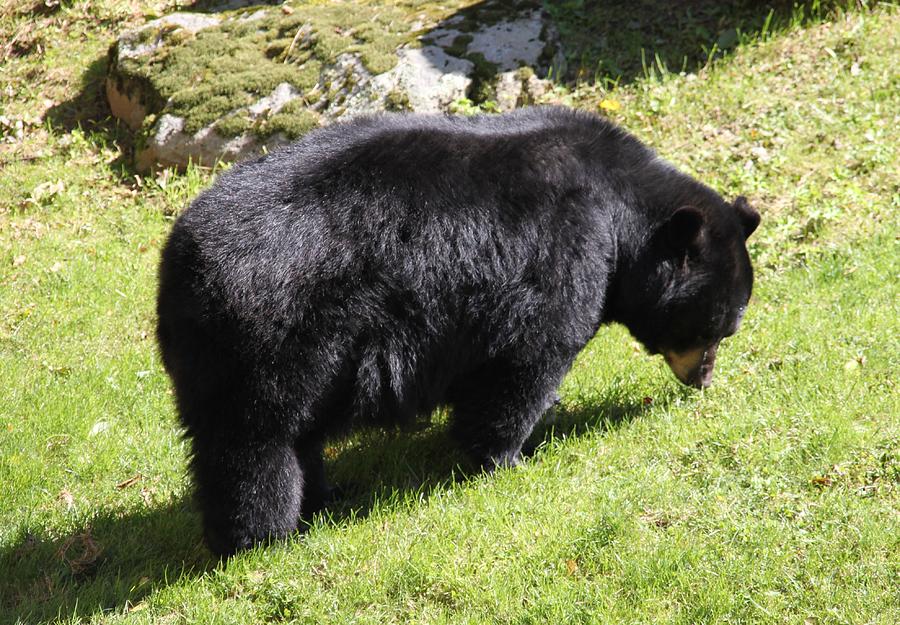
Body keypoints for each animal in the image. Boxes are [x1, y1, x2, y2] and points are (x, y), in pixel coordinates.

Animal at [156, 107, 760, 556]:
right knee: (256, 441)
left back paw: (327, 497)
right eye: (719, 327)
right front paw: (510, 457)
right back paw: (262, 536)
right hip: (277, 335)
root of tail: (181, 267)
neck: (620, 212)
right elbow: (525, 361)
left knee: (296, 432)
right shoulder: (565, 248)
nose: (703, 380)